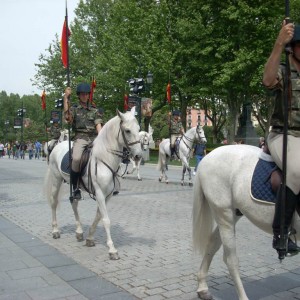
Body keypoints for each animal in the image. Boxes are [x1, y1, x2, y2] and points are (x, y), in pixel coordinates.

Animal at [44, 108, 142, 260]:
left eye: (138, 129)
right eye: (127, 131)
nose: (138, 156)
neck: (104, 158)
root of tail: (57, 146)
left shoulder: (107, 195)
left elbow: (98, 216)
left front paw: (90, 238)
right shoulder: (100, 193)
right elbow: (106, 219)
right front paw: (112, 249)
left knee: (74, 203)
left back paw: (79, 231)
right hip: (56, 179)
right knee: (54, 202)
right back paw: (55, 230)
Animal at [192, 144, 300, 298]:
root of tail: (209, 156)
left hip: (234, 213)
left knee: (213, 243)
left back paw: (202, 287)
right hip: (224, 213)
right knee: (231, 259)